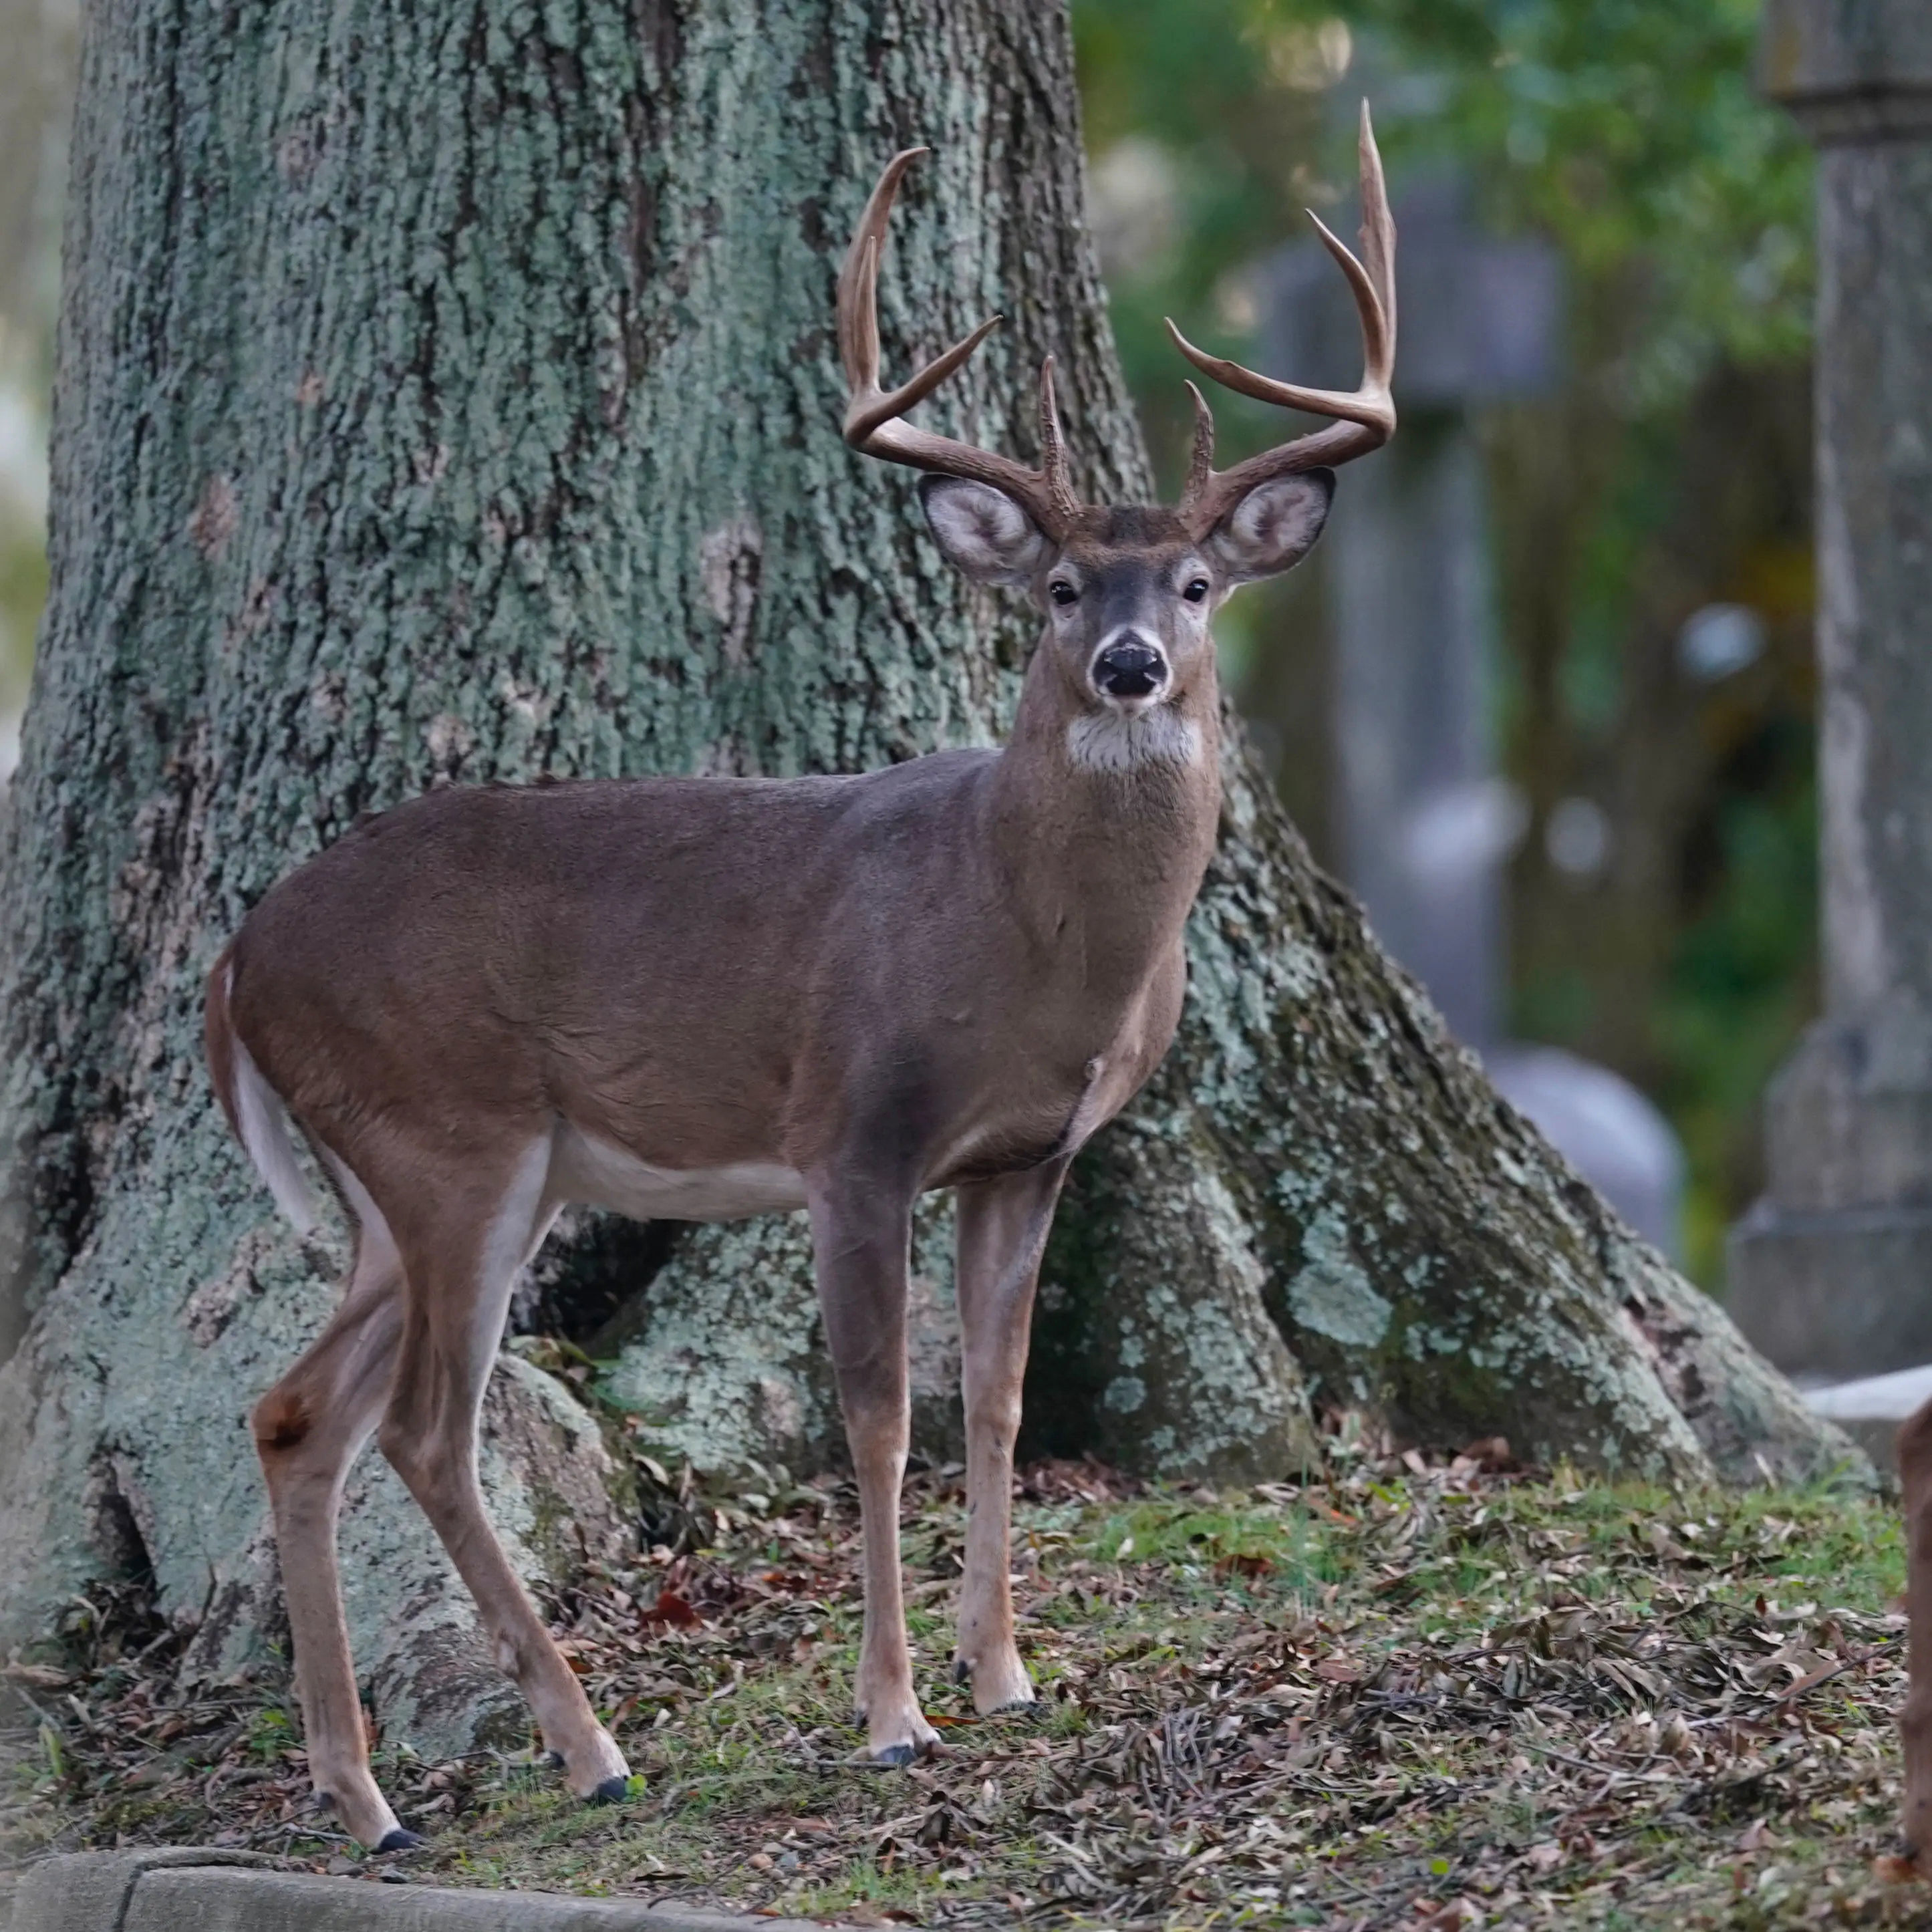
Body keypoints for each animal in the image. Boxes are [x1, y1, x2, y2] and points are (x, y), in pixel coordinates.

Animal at [196, 102, 1399, 1839]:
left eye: (1193, 584)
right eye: (1056, 589)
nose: (1128, 665)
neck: (1029, 941)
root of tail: (236, 958)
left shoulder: (1029, 1156)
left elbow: (1001, 1405)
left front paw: (1005, 1671)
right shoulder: (854, 1128)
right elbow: (881, 1418)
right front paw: (894, 1713)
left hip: (406, 1179)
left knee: (299, 1413)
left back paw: (365, 1794)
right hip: (448, 1134)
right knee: (425, 1427)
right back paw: (588, 1748)